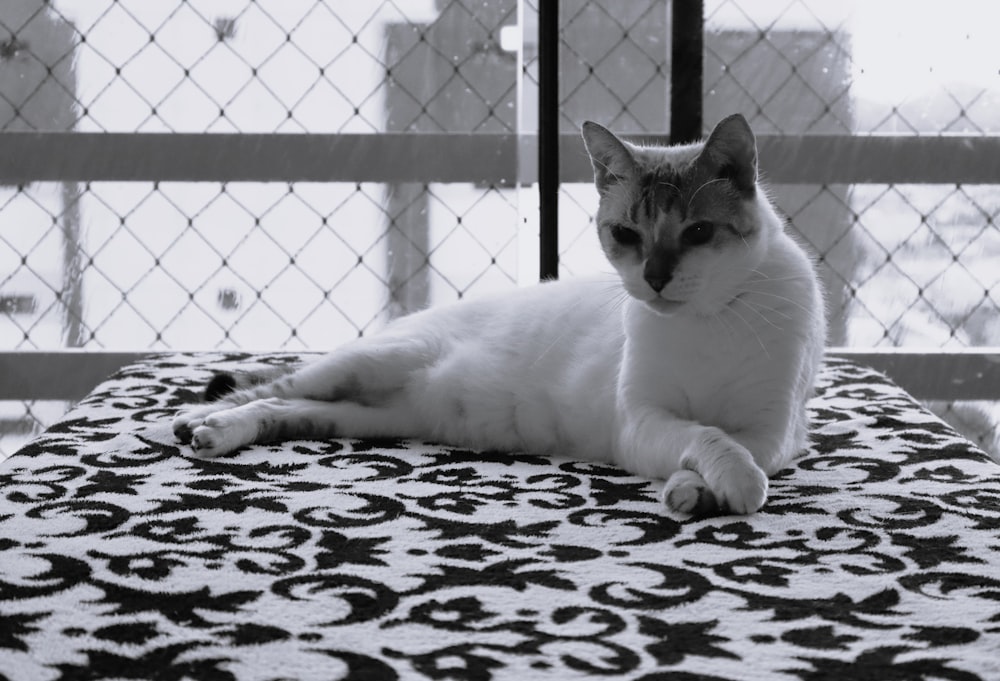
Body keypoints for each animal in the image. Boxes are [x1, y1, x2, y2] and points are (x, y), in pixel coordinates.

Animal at [174, 113, 828, 516]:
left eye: (696, 233)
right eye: (626, 234)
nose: (655, 278)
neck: (705, 321)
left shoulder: (772, 434)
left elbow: (729, 449)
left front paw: (698, 492)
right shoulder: (644, 421)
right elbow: (710, 439)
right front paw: (729, 484)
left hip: (364, 415)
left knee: (286, 409)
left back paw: (217, 431)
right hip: (368, 365)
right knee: (266, 390)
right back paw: (197, 424)